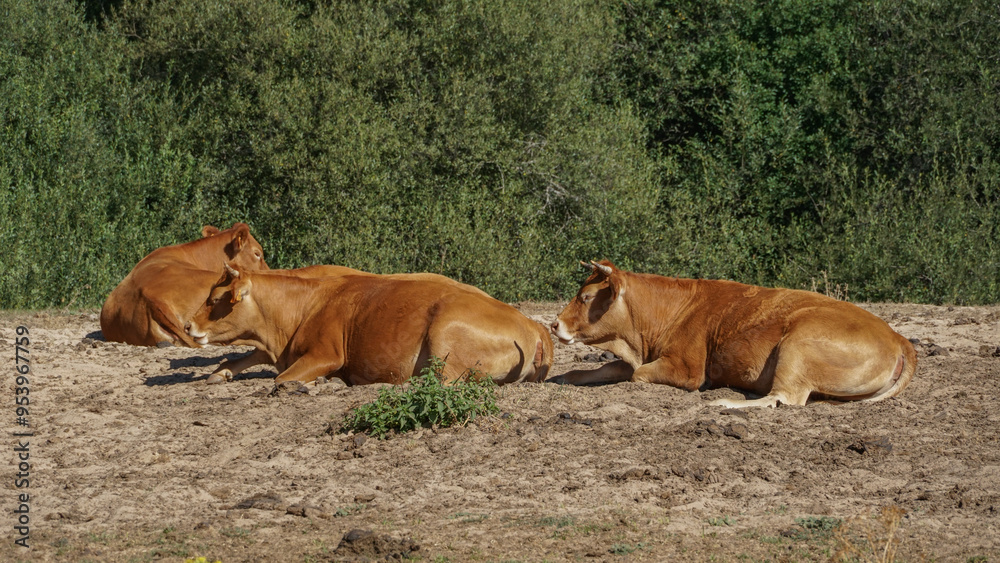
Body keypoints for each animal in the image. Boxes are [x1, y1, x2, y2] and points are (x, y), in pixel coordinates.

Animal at [184, 264, 553, 387]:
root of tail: (533, 326)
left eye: (214, 299)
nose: (187, 326)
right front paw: (218, 373)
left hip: (443, 335)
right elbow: (243, 357)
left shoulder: (326, 353)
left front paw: (320, 382)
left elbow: (282, 378)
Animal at [549, 260, 916, 408]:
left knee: (784, 398)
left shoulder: (686, 370)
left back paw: (725, 402)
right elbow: (595, 370)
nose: (554, 324)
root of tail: (898, 338)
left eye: (585, 297)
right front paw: (560, 378)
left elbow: (637, 375)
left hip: (797, 344)